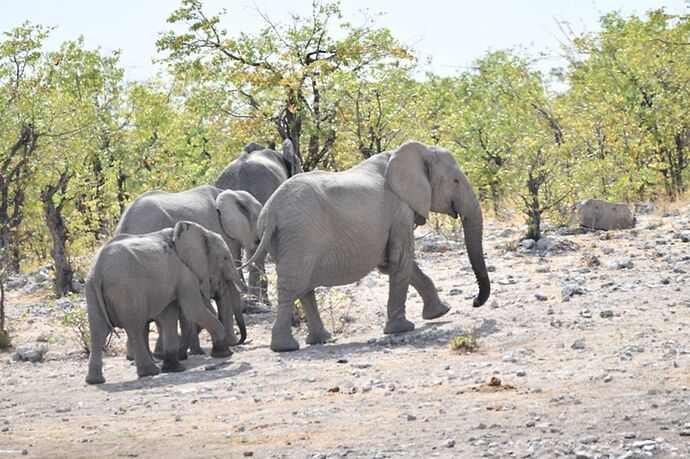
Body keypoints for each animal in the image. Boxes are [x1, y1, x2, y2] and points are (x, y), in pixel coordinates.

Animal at [84, 222, 245, 384]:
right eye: (225, 258)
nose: (237, 343)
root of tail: (98, 270)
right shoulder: (185, 272)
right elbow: (193, 310)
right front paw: (223, 353)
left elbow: (169, 315)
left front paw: (174, 368)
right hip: (126, 289)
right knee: (135, 327)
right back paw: (149, 372)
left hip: (91, 288)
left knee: (98, 329)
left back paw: (95, 381)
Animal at [242, 141, 490, 352]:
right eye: (456, 181)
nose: (475, 302)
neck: (418, 152)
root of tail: (271, 212)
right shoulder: (399, 209)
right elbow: (401, 260)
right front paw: (402, 329)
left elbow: (397, 265)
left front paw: (440, 312)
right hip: (299, 235)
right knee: (293, 286)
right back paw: (286, 347)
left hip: (286, 240)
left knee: (304, 288)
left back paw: (320, 340)